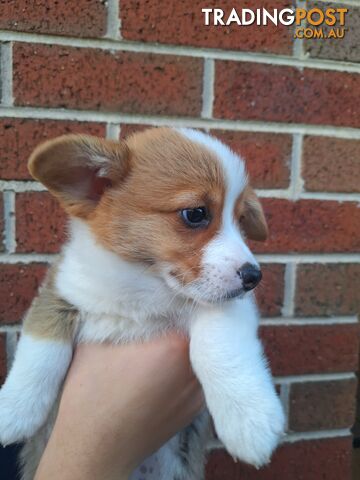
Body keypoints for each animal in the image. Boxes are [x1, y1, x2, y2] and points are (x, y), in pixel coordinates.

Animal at [0, 127, 284, 480]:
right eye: (196, 214)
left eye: (241, 219)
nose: (253, 276)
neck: (143, 284)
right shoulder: (60, 293)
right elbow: (40, 348)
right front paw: (13, 408)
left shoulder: (225, 305)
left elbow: (219, 346)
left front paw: (249, 419)